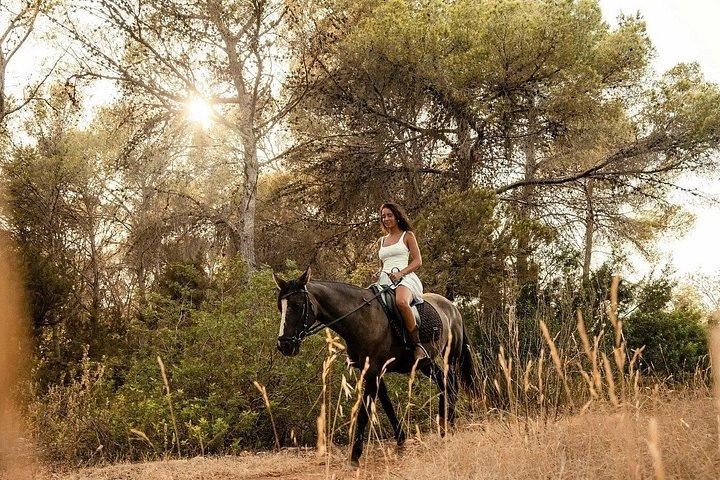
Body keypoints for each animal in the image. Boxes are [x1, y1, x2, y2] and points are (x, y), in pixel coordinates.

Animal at [273, 267, 479, 468]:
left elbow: (365, 410)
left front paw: (355, 455)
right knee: (444, 384)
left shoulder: (372, 371)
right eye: (280, 307)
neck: (361, 317)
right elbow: (385, 403)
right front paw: (401, 441)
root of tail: (452, 307)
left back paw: (449, 427)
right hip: (425, 364)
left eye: (298, 305)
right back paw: (444, 428)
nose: (284, 345)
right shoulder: (372, 371)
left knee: (451, 385)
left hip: (450, 357)